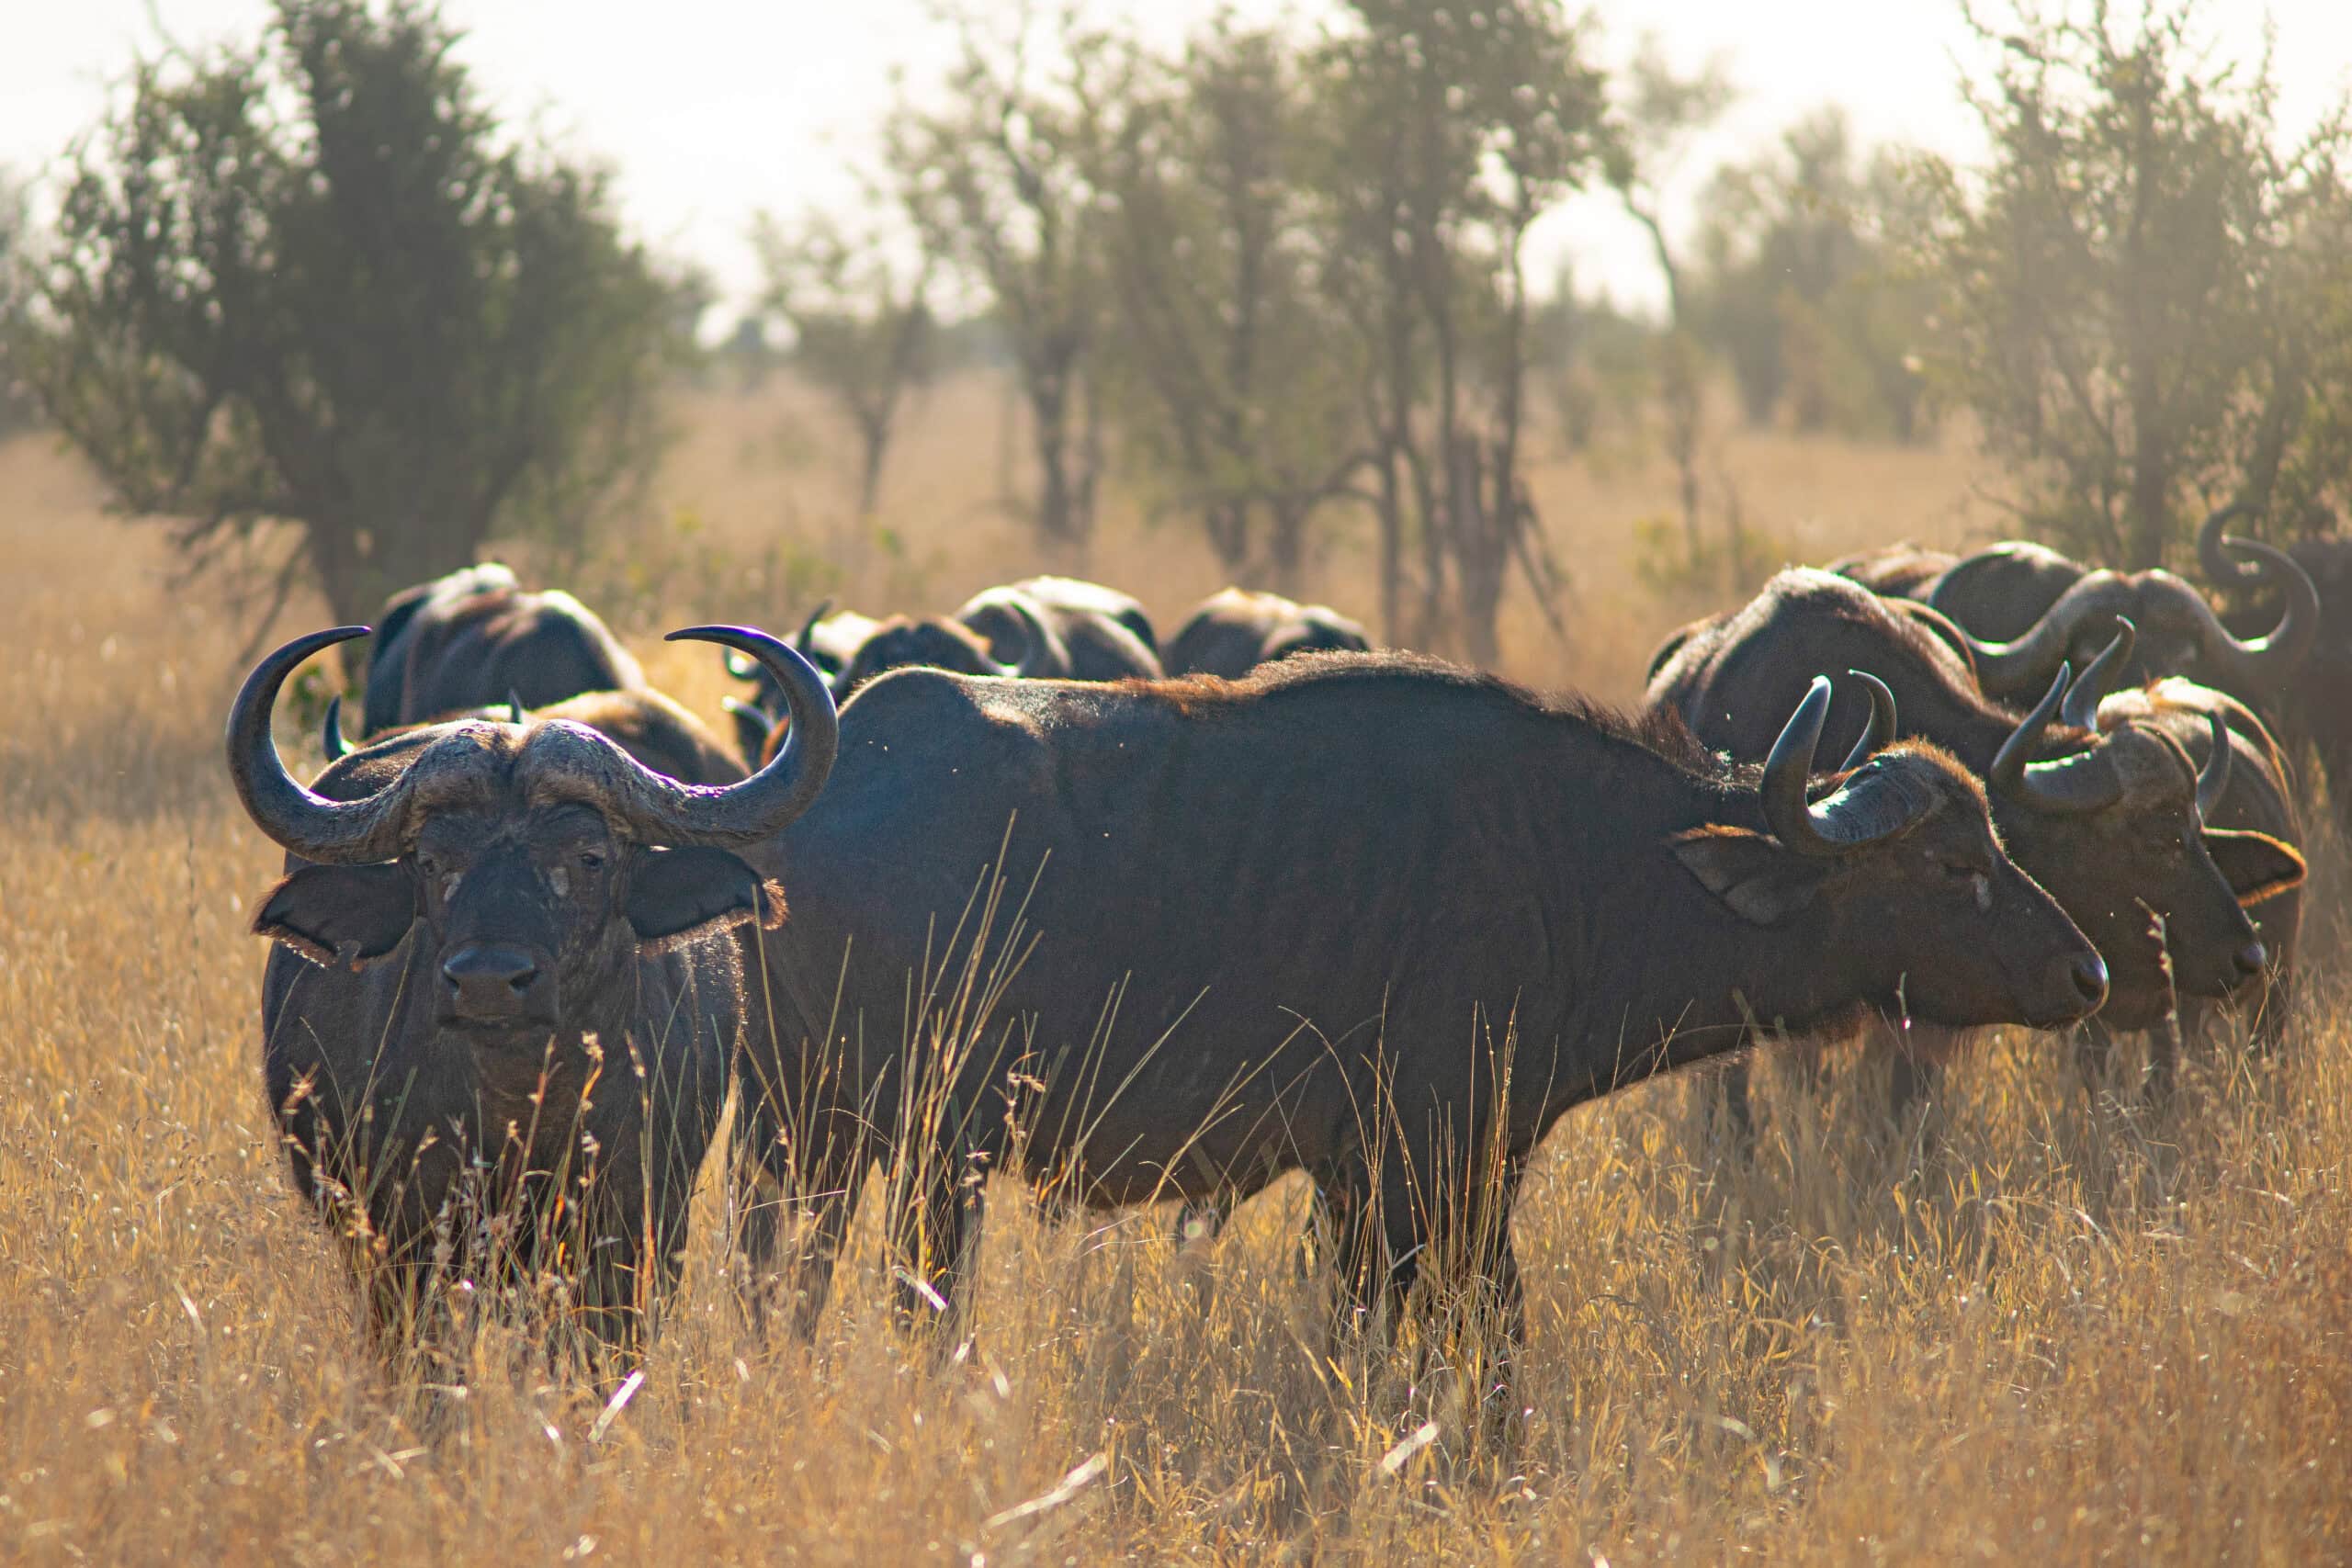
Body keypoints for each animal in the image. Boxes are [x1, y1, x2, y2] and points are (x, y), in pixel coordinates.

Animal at [234, 622, 837, 1366]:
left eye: (589, 857)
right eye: (430, 861)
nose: (488, 980)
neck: (521, 1101)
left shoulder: (636, 1227)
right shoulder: (405, 1238)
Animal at [729, 651, 2103, 1395]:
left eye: (1995, 837)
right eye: (1951, 866)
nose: (2088, 970)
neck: (1569, 860)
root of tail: (812, 796)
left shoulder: (1363, 1180)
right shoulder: (1439, 1160)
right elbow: (1487, 1327)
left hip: (798, 1134)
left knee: (778, 1287)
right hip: (925, 1147)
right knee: (915, 1304)